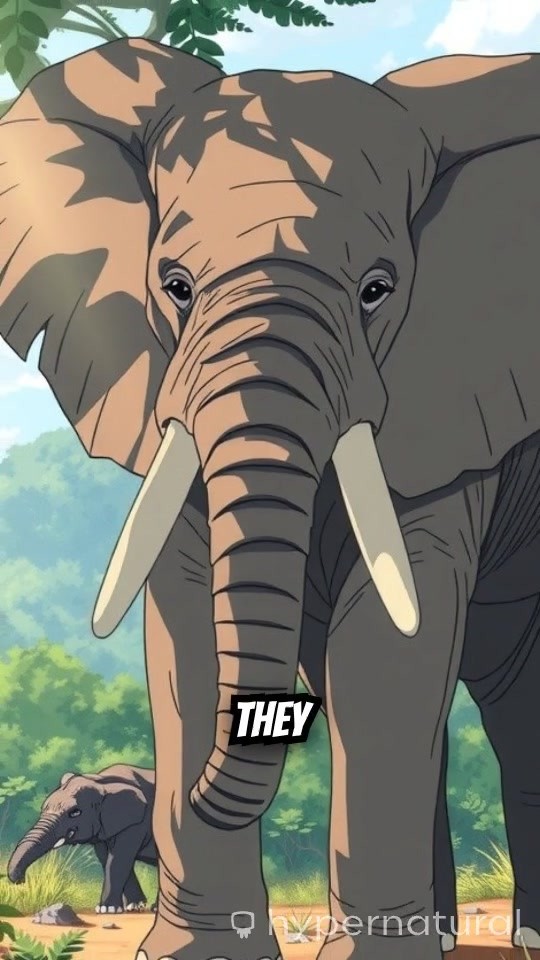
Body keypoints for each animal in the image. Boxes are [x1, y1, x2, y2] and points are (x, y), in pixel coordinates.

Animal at [7, 766, 158, 913]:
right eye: (44, 808)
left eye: (75, 812)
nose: (21, 880)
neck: (101, 780)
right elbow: (107, 858)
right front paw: (134, 906)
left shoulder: (137, 823)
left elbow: (119, 859)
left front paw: (106, 910)